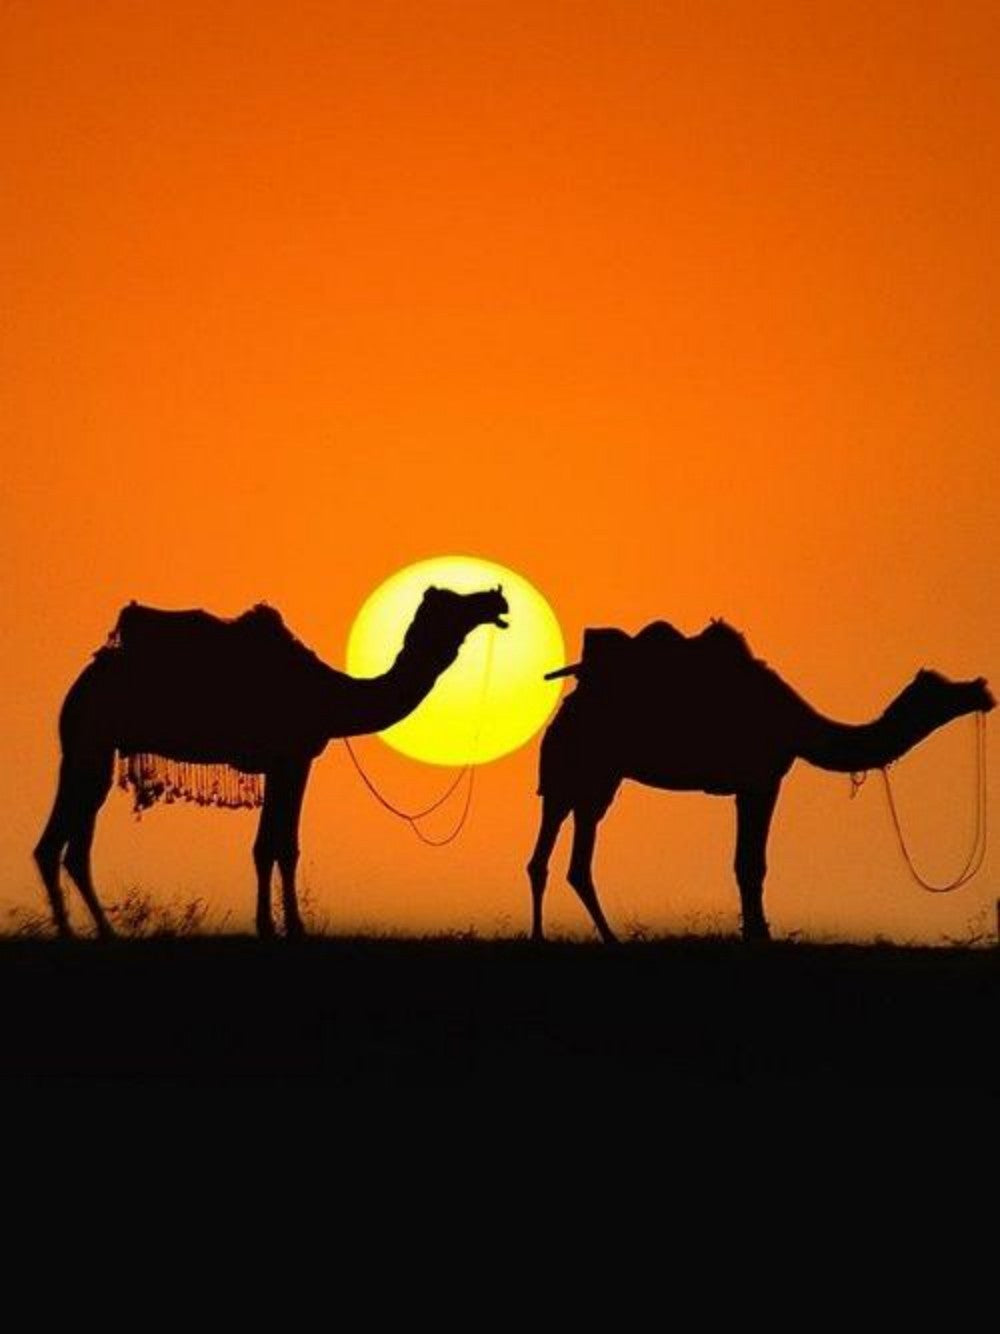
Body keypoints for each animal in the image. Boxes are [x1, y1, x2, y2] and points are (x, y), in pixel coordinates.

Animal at [34, 584, 508, 937]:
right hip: (90, 744)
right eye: (454, 602)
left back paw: (91, 931)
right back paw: (81, 932)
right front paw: (284, 928)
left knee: (66, 847)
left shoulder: (288, 762)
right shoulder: (292, 758)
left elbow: (276, 844)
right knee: (60, 843)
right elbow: (277, 846)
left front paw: (278, 925)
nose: (497, 597)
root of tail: (81, 683)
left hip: (88, 750)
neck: (332, 696)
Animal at [527, 619, 994, 943]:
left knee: (551, 856)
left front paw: (756, 931)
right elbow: (751, 864)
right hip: (592, 774)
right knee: (573, 857)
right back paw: (603, 938)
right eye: (942, 686)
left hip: (574, 780)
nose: (983, 689)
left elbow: (746, 862)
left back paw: (548, 937)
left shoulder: (751, 785)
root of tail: (564, 712)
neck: (798, 724)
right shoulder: (763, 779)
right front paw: (759, 935)